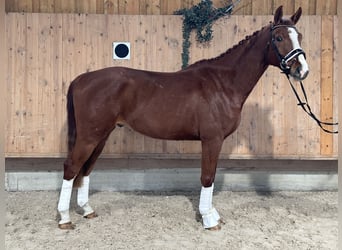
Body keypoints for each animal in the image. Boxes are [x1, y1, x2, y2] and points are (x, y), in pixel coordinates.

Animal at [57, 5, 308, 229]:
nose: (302, 70)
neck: (223, 84)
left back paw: (87, 210)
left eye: (299, 36)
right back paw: (65, 218)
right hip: (90, 136)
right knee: (71, 167)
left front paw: (212, 214)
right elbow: (207, 177)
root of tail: (81, 79)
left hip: (101, 135)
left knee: (86, 168)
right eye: (278, 37)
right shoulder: (212, 139)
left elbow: (211, 176)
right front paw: (208, 219)